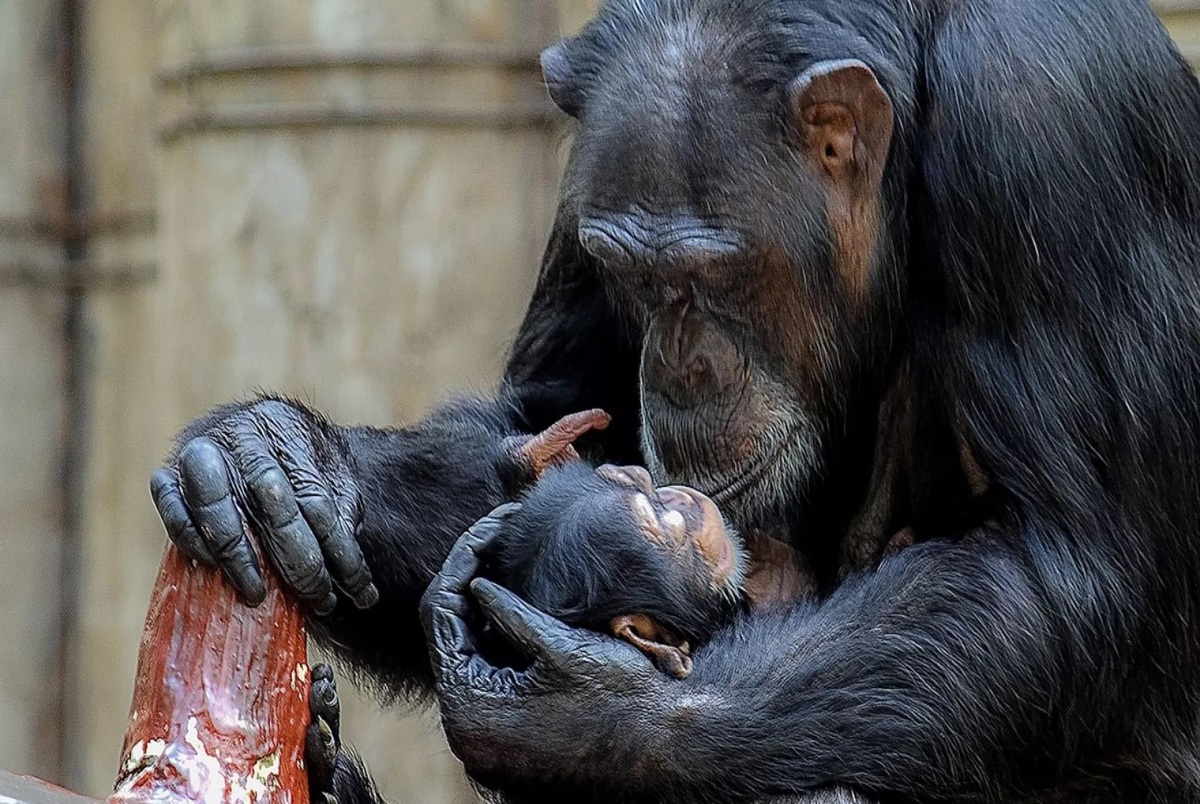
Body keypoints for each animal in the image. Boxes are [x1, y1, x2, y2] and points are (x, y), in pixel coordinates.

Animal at [147, 0, 1200, 801]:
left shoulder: (1043, 128)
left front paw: (588, 717)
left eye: (711, 277)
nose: (681, 368)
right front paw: (284, 458)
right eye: (633, 277)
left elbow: (1064, 555)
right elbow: (548, 426)